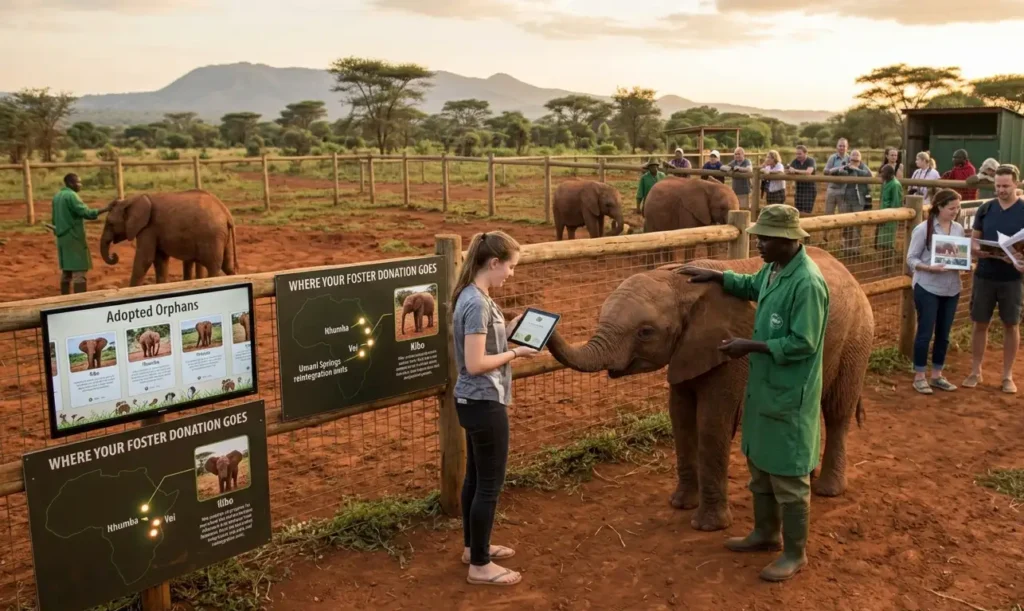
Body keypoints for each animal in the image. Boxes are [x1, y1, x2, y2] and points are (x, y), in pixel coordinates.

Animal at [100, 189, 238, 287]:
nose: (114, 255)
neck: (131, 200)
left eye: (110, 223)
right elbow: (160, 261)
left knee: (214, 268)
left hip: (212, 236)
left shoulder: (148, 228)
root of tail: (227, 214)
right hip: (221, 236)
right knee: (227, 267)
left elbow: (145, 260)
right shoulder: (154, 229)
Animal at [546, 246, 872, 532]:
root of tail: (850, 273)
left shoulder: (727, 356)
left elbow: (711, 423)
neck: (680, 285)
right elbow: (681, 418)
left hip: (856, 336)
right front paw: (680, 504)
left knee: (837, 410)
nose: (545, 320)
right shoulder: (686, 351)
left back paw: (827, 490)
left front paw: (708, 526)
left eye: (645, 332)